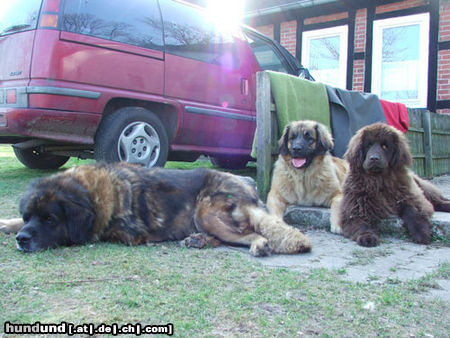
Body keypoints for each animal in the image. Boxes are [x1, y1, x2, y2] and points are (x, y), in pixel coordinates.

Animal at [0, 162, 312, 255]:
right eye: (29, 216)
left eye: (50, 218)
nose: (22, 240)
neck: (91, 193)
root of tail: (247, 183)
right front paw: (8, 223)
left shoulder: (124, 234)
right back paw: (197, 240)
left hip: (205, 210)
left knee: (251, 233)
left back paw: (259, 244)